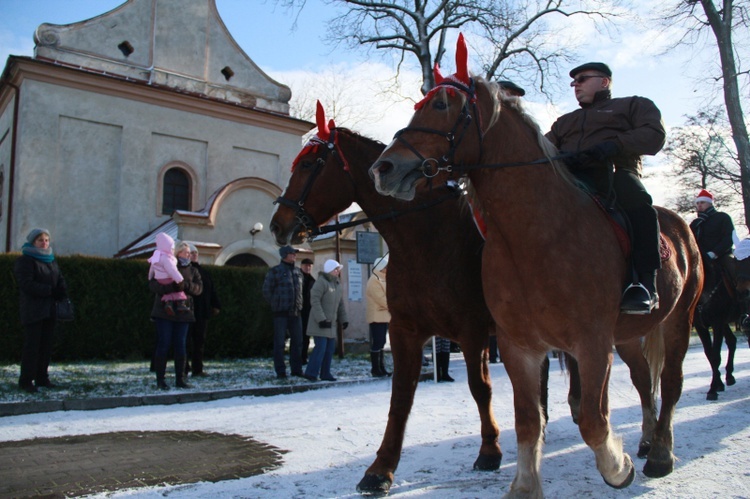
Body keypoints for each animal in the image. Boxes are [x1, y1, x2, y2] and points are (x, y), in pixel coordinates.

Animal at [270, 102, 512, 496]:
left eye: (308, 165)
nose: (278, 223)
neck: (426, 238)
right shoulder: (404, 331)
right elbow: (399, 398)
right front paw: (380, 469)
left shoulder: (472, 330)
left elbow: (480, 388)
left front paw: (490, 450)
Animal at [372, 34, 704, 496]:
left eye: (440, 105)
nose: (384, 168)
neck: (535, 236)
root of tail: (679, 224)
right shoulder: (519, 347)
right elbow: (529, 421)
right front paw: (526, 485)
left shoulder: (591, 342)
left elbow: (592, 421)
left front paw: (617, 467)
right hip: (628, 336)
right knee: (644, 381)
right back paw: (645, 440)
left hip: (678, 321)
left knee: (670, 384)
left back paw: (658, 454)